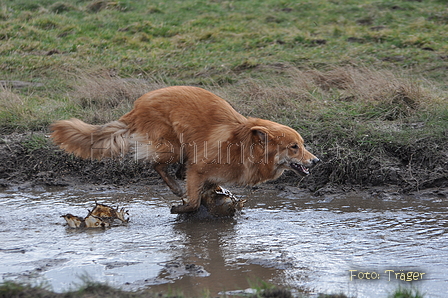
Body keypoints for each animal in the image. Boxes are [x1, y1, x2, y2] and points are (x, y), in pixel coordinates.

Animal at [51, 85, 318, 213]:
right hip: (173, 146)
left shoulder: (209, 175)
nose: (316, 161)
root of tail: (138, 105)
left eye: (302, 145)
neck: (244, 147)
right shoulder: (199, 169)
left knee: (172, 166)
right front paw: (181, 208)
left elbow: (206, 192)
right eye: (294, 147)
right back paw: (175, 186)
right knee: (156, 165)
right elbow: (193, 202)